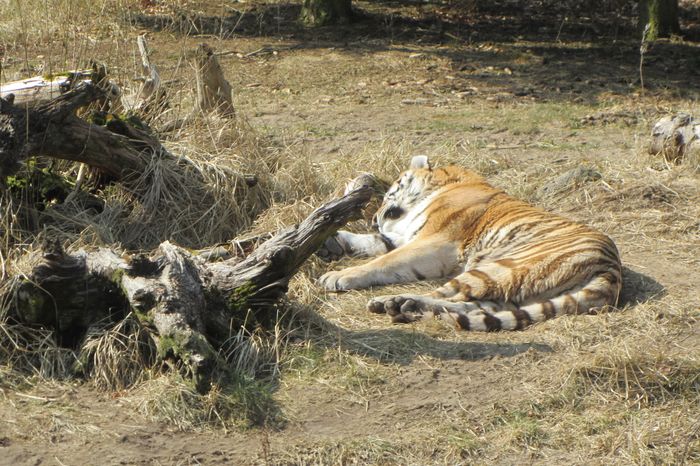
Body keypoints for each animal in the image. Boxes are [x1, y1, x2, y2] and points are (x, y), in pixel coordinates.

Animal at [318, 157, 624, 332]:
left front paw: (336, 276)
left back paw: (394, 303)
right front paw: (329, 243)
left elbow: (381, 262)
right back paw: (404, 307)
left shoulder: (435, 241)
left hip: (498, 268)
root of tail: (611, 267)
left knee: (447, 296)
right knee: (476, 307)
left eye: (388, 194)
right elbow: (373, 244)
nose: (374, 219)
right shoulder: (406, 237)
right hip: (515, 289)